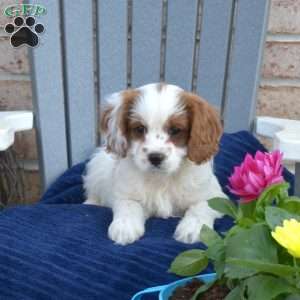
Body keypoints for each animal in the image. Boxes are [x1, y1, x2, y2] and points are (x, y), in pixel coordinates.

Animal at [83, 83, 226, 245]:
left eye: (175, 130)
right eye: (139, 129)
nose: (155, 157)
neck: (161, 178)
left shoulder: (214, 195)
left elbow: (201, 207)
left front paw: (193, 229)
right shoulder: (124, 194)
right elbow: (129, 205)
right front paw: (124, 227)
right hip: (97, 168)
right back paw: (91, 203)